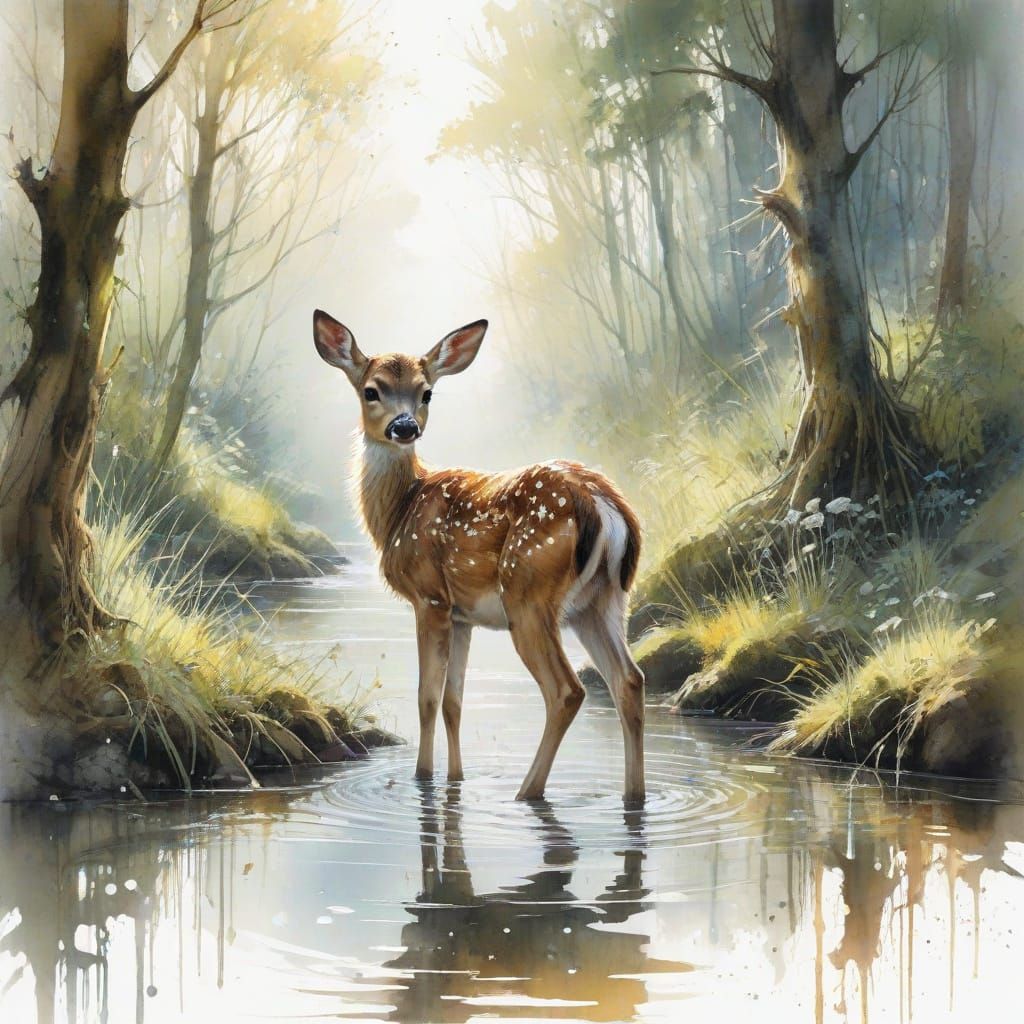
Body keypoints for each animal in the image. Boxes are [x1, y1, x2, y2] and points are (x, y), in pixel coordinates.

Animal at [312, 310, 645, 804]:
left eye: (426, 391)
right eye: (372, 390)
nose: (405, 427)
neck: (399, 511)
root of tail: (604, 505)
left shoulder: (429, 597)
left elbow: (427, 698)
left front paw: (423, 779)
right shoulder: (462, 614)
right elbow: (454, 701)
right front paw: (456, 780)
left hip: (529, 594)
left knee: (567, 691)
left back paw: (527, 791)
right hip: (601, 601)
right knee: (629, 680)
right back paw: (633, 796)